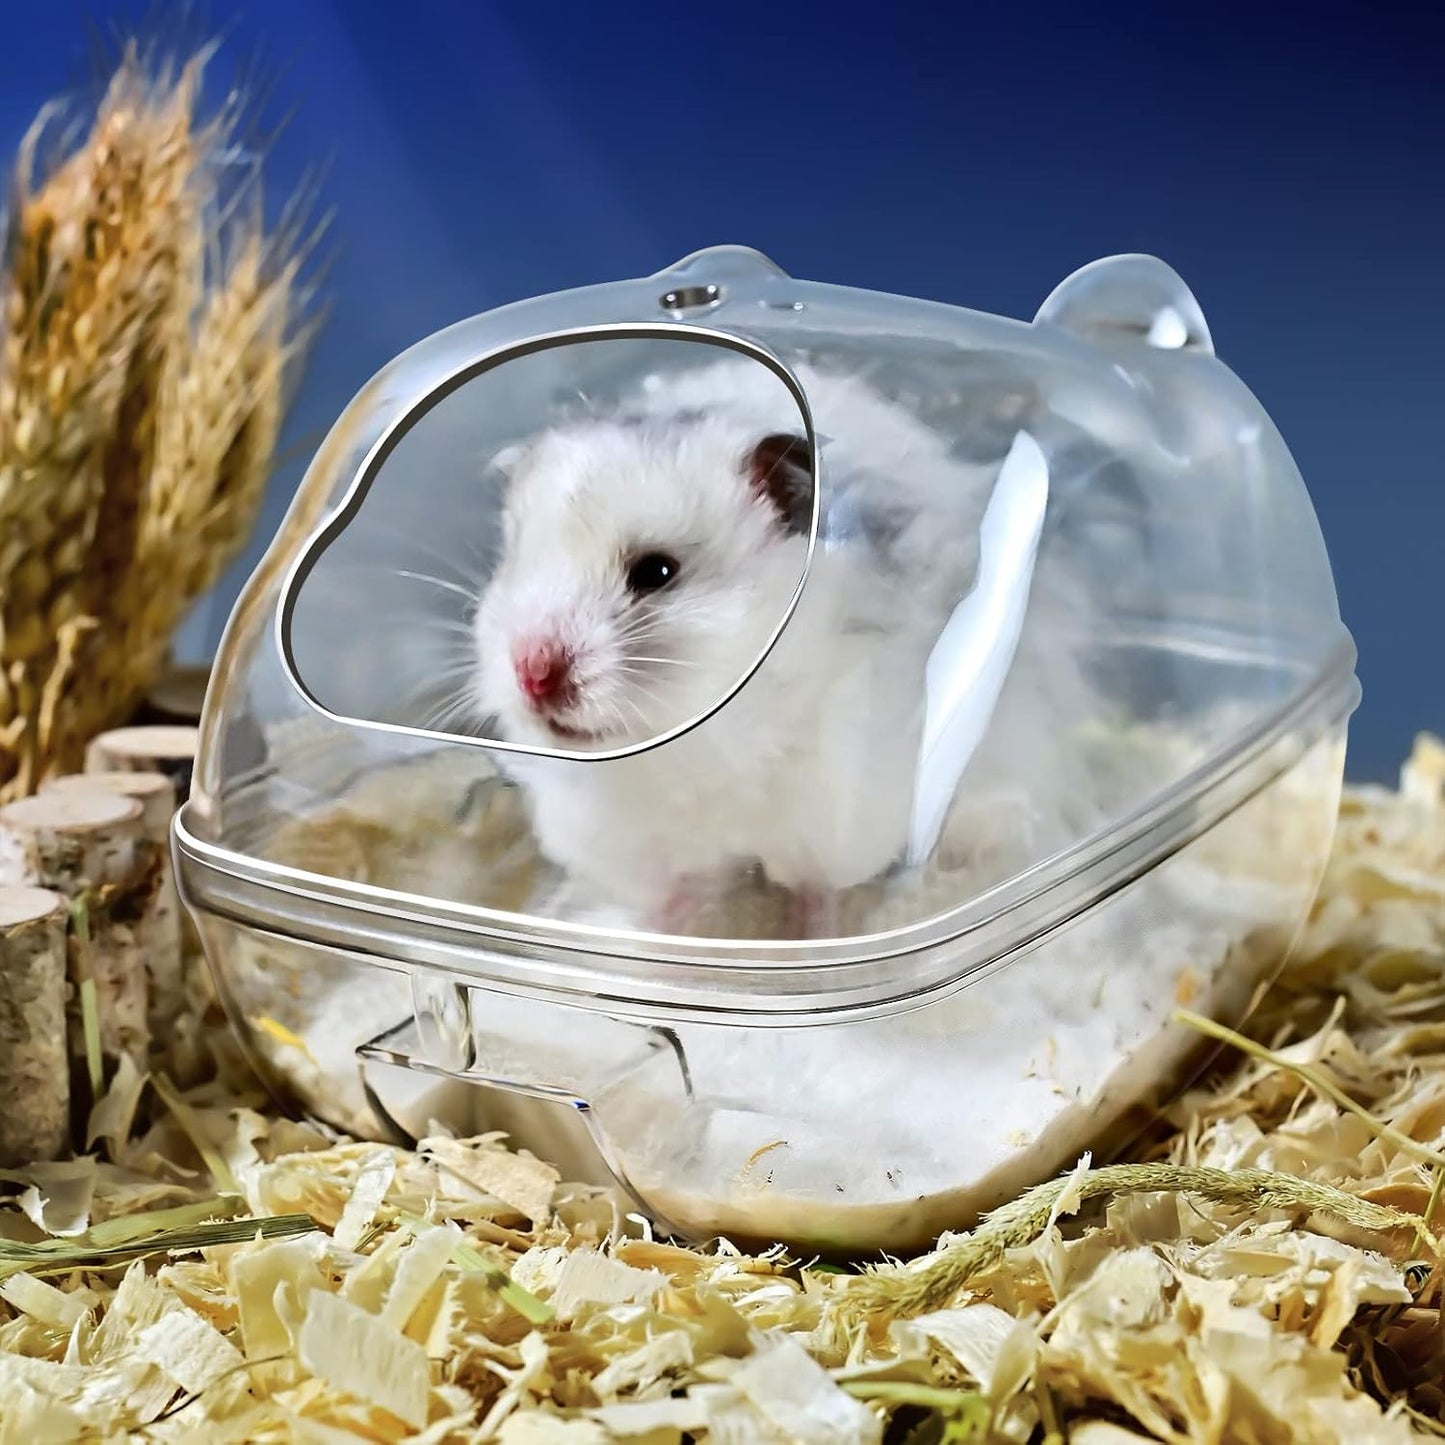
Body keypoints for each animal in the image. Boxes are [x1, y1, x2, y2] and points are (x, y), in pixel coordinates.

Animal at [470, 356, 1099, 939]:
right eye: (514, 563)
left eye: (657, 572)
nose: (532, 674)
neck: (698, 749)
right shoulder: (634, 845)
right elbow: (668, 905)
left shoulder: (835, 813)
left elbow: (815, 894)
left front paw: (810, 945)